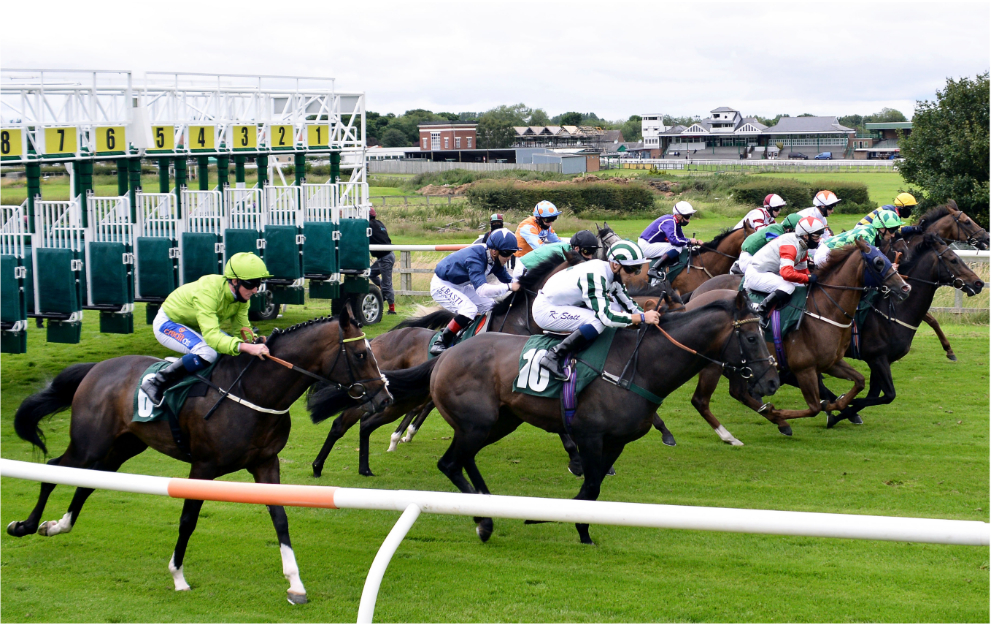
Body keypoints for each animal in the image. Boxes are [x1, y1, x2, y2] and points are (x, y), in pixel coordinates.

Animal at [414, 290, 780, 544]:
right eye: (751, 337)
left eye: (762, 333)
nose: (772, 381)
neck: (637, 366)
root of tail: (446, 355)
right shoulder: (589, 436)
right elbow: (590, 486)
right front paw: (564, 524)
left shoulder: (616, 442)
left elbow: (594, 489)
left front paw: (572, 526)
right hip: (476, 424)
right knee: (450, 463)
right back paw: (484, 522)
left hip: (499, 422)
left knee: (464, 460)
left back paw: (487, 505)